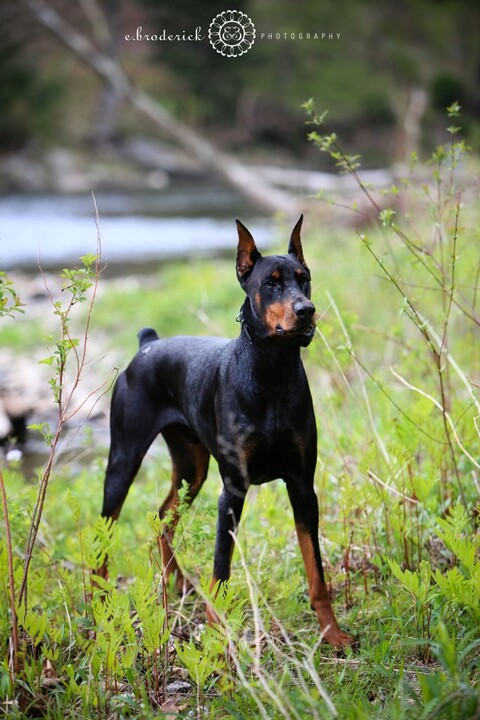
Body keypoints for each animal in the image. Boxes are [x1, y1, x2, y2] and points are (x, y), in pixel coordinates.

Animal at [97, 214, 352, 648]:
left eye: (305, 279)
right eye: (271, 282)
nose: (307, 311)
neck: (271, 374)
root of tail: (148, 344)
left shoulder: (303, 485)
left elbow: (316, 572)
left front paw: (332, 634)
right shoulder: (232, 490)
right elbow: (221, 570)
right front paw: (217, 638)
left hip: (191, 467)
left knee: (164, 517)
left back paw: (179, 584)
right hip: (124, 461)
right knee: (105, 532)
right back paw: (98, 600)